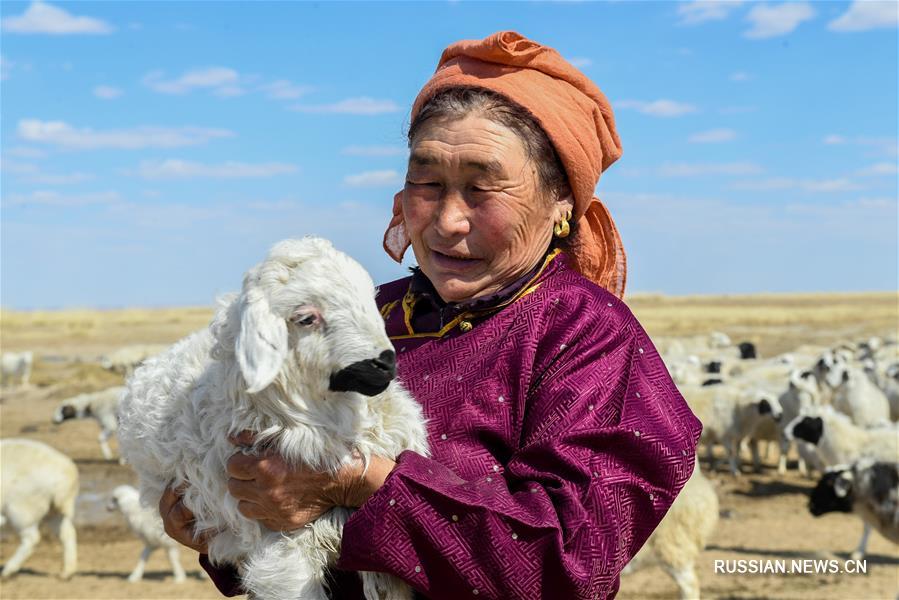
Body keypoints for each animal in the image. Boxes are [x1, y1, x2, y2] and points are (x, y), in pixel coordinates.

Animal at [0, 438, 78, 580]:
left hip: (22, 510)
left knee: (32, 539)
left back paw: (8, 571)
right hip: (55, 512)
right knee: (67, 533)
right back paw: (67, 572)